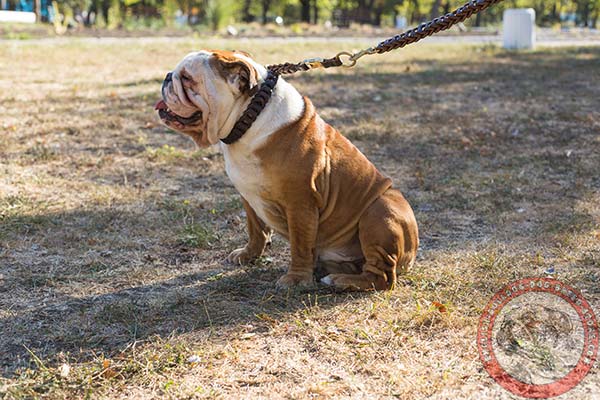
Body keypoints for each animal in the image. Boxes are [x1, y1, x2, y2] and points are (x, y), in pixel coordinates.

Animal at [155, 50, 418, 290]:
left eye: (187, 78)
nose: (167, 77)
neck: (250, 116)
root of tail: (413, 252)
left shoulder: (300, 204)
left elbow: (300, 245)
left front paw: (296, 279)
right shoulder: (248, 195)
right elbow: (256, 230)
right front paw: (248, 255)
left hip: (379, 211)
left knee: (383, 277)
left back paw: (339, 280)